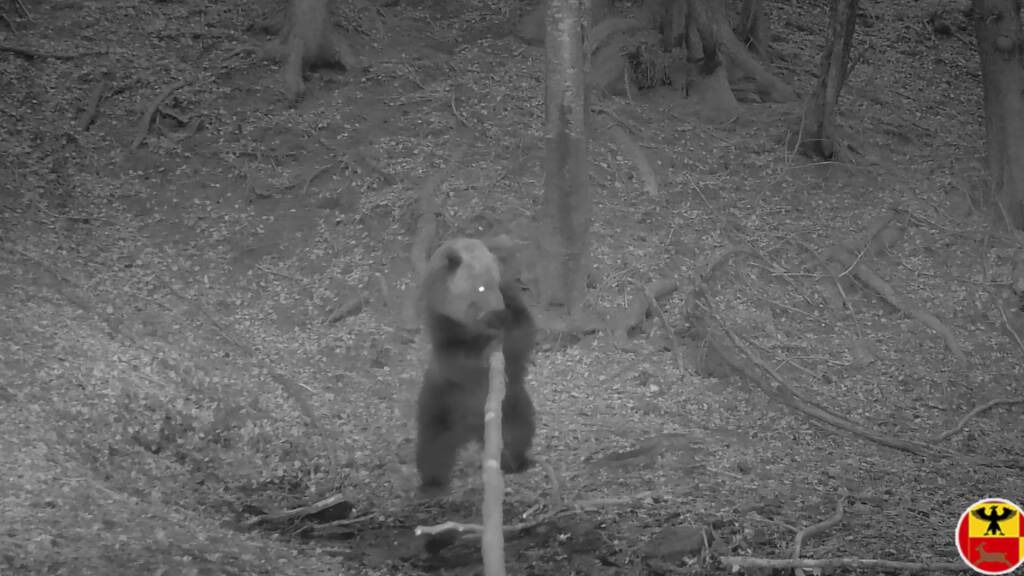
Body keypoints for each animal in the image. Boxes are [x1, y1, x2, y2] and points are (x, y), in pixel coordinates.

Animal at [415, 236, 537, 496]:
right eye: (480, 287)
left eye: (497, 282)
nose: (497, 310)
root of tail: (473, 431)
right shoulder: (443, 323)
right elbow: (455, 357)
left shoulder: (513, 304)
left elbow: (523, 331)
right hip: (441, 403)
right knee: (432, 446)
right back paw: (432, 483)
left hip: (511, 403)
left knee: (519, 430)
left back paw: (516, 462)